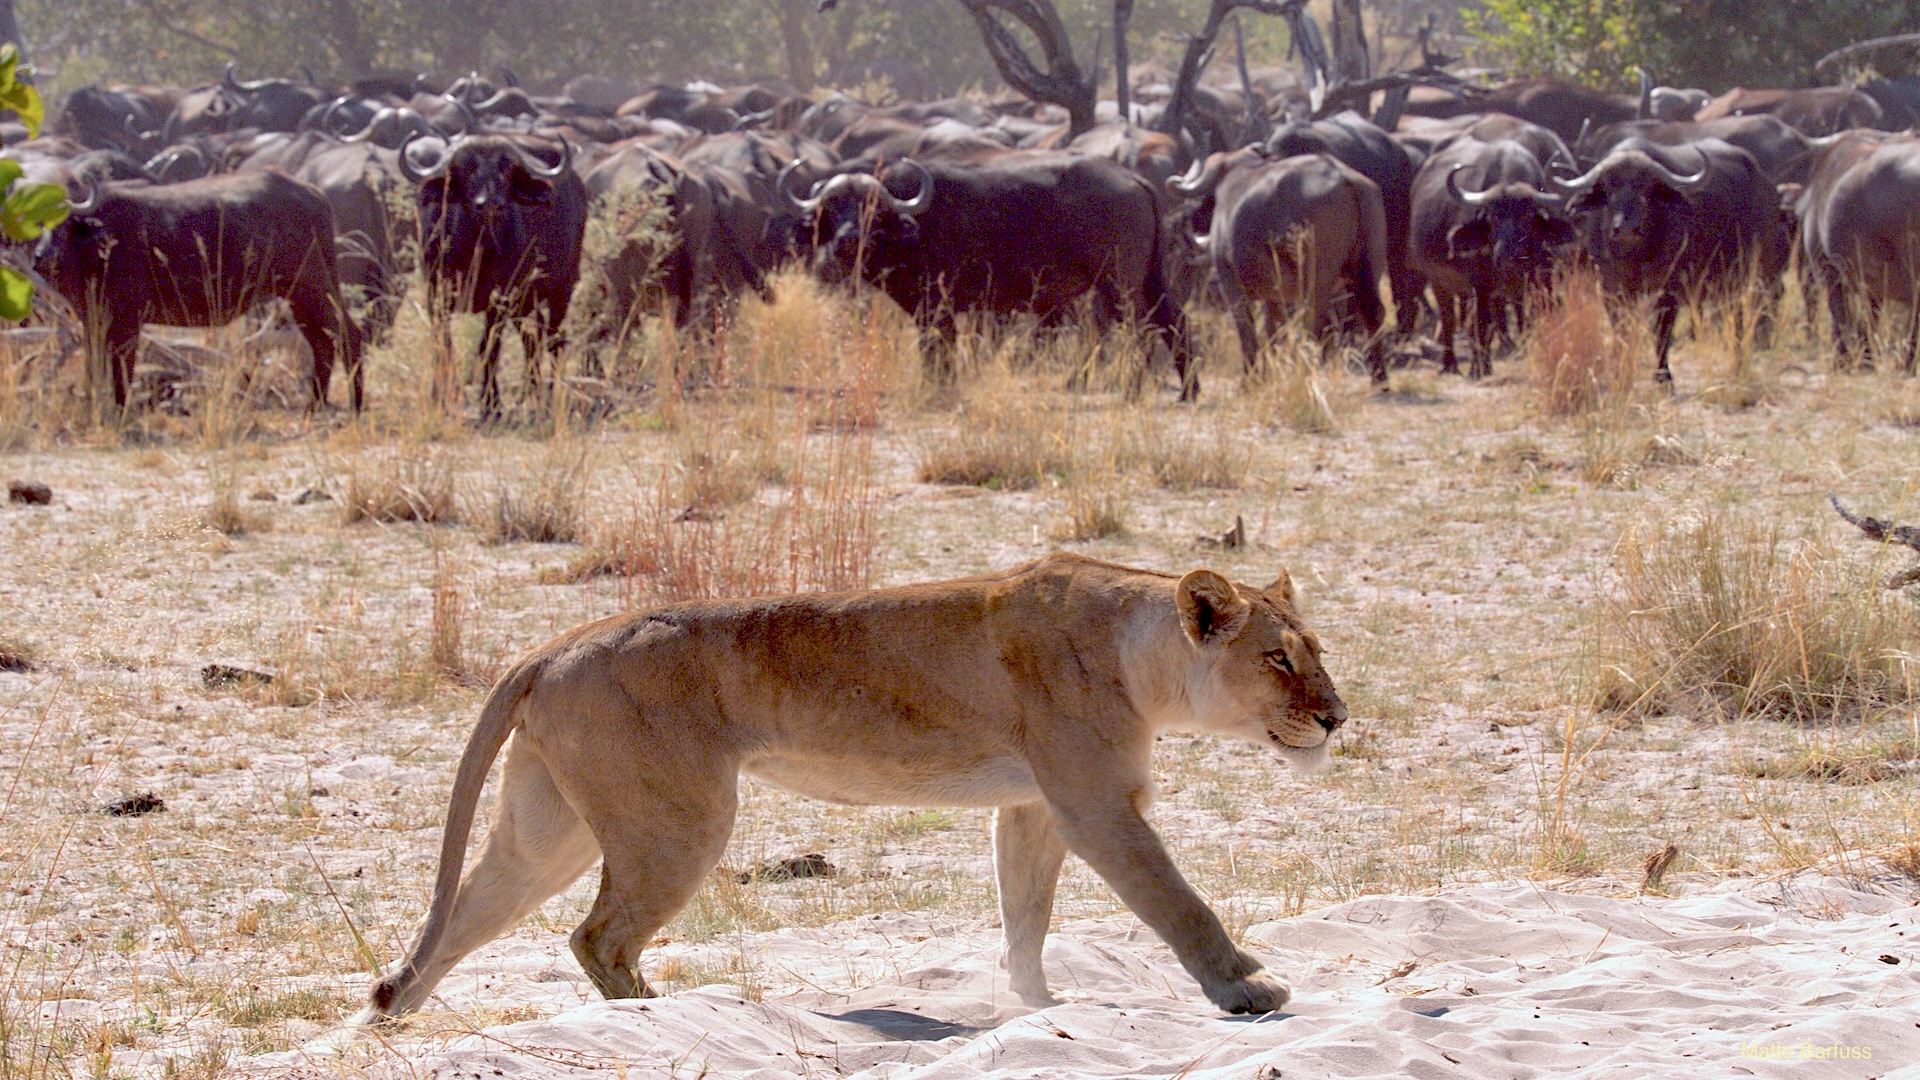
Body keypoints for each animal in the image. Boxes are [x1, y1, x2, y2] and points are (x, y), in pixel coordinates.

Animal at [356, 553, 1347, 1023]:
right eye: (1277, 658)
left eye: (1316, 652)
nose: (1338, 718)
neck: (1144, 650)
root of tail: (552, 644)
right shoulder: (1096, 803)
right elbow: (1179, 902)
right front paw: (1247, 989)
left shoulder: (1033, 803)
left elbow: (1025, 913)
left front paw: (1033, 1005)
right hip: (680, 819)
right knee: (596, 937)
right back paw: (658, 1015)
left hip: (548, 829)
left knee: (472, 911)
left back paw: (396, 1017)